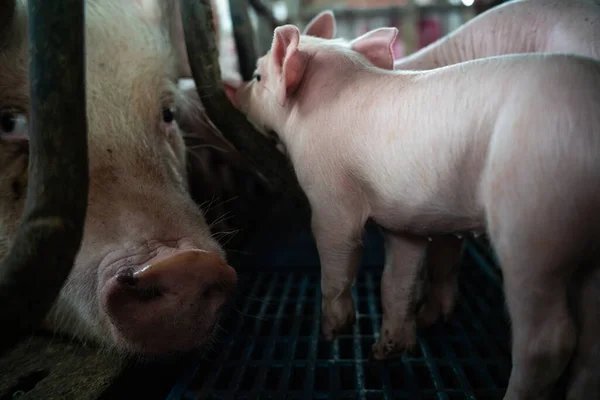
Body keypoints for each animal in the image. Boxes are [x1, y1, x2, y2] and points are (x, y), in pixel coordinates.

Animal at [231, 19, 600, 400]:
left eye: (257, 76)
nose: (233, 91)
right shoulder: (402, 221)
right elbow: (395, 283)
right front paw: (384, 353)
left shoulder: (329, 194)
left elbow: (337, 254)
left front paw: (333, 331)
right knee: (592, 339)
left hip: (532, 221)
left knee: (548, 342)